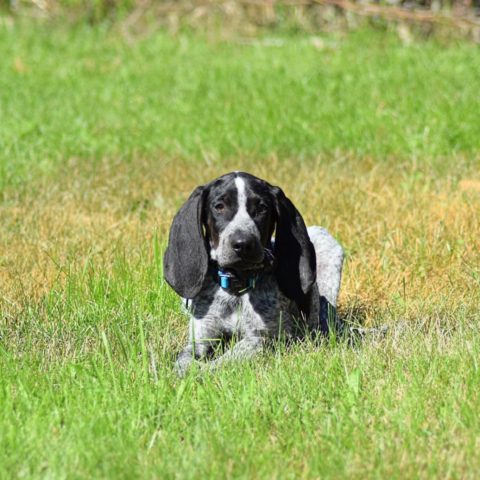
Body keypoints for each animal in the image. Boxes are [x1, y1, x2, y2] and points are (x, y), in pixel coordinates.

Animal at [163, 172, 344, 376]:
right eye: (219, 206)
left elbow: (227, 359)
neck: (236, 287)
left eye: (262, 208)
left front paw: (203, 370)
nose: (242, 244)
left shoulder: (267, 338)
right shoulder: (202, 334)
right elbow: (184, 359)